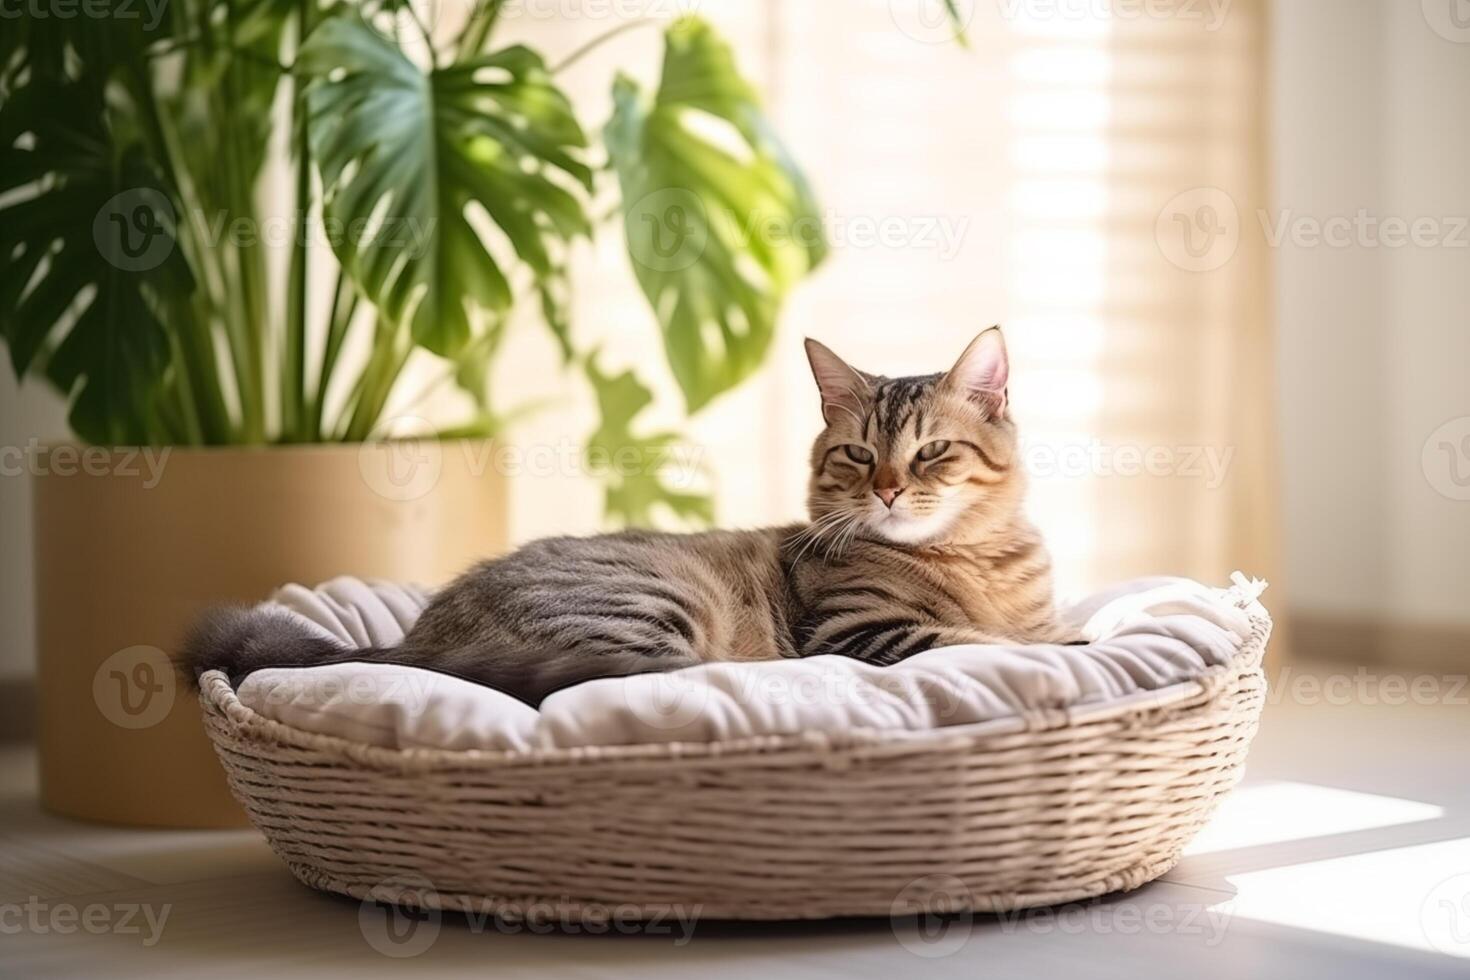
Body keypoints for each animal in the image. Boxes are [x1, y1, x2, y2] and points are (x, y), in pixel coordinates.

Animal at [189, 329, 1076, 705]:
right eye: (859, 455)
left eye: (931, 453)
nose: (887, 490)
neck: (974, 560)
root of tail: (417, 637)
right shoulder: (859, 631)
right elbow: (979, 641)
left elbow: (1034, 634)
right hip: (647, 608)